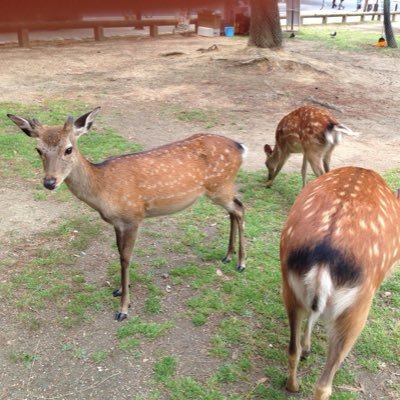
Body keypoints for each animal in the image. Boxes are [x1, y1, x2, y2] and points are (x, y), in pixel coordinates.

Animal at [7, 107, 247, 322]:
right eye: (38, 150)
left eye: (68, 149)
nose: (49, 182)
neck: (103, 189)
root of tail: (240, 146)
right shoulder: (116, 222)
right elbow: (119, 253)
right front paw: (121, 290)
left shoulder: (133, 217)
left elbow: (125, 258)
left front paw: (123, 308)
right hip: (221, 188)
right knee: (234, 210)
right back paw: (228, 255)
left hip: (220, 186)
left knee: (240, 208)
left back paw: (241, 263)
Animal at [280, 165, 400, 396]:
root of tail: (323, 257)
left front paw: (308, 347)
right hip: (356, 309)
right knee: (324, 384)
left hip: (289, 288)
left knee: (292, 349)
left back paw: (293, 384)